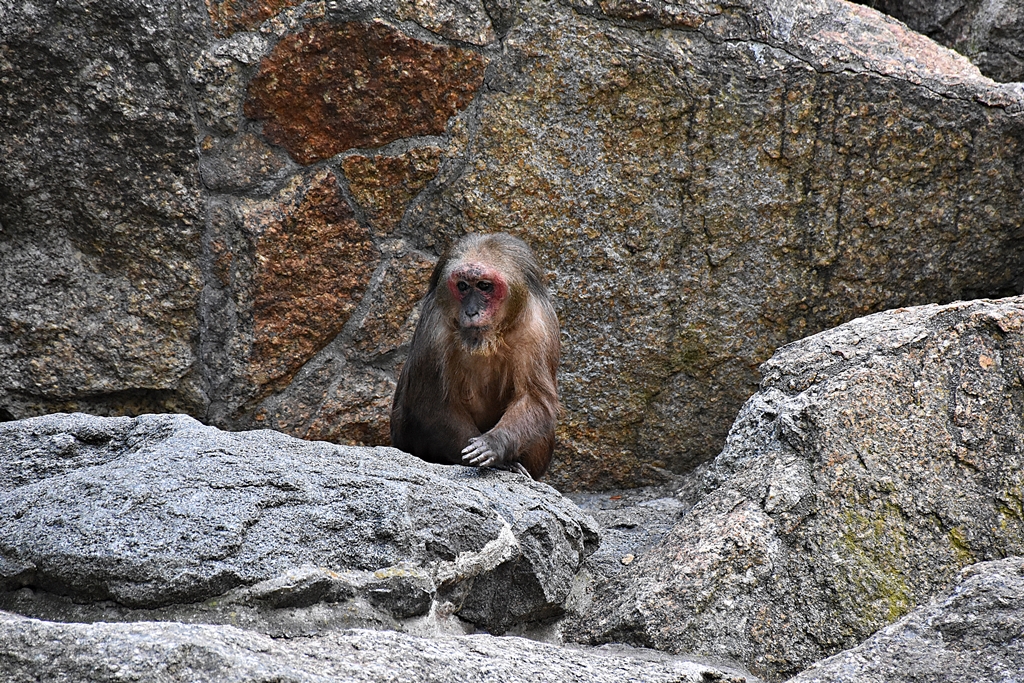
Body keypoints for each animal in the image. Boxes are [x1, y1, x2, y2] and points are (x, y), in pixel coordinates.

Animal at [389, 232, 560, 479]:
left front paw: (494, 445)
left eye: (484, 286)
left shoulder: (539, 327)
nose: (471, 311)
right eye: (462, 286)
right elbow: (428, 403)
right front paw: (498, 461)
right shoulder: (434, 325)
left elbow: (536, 398)